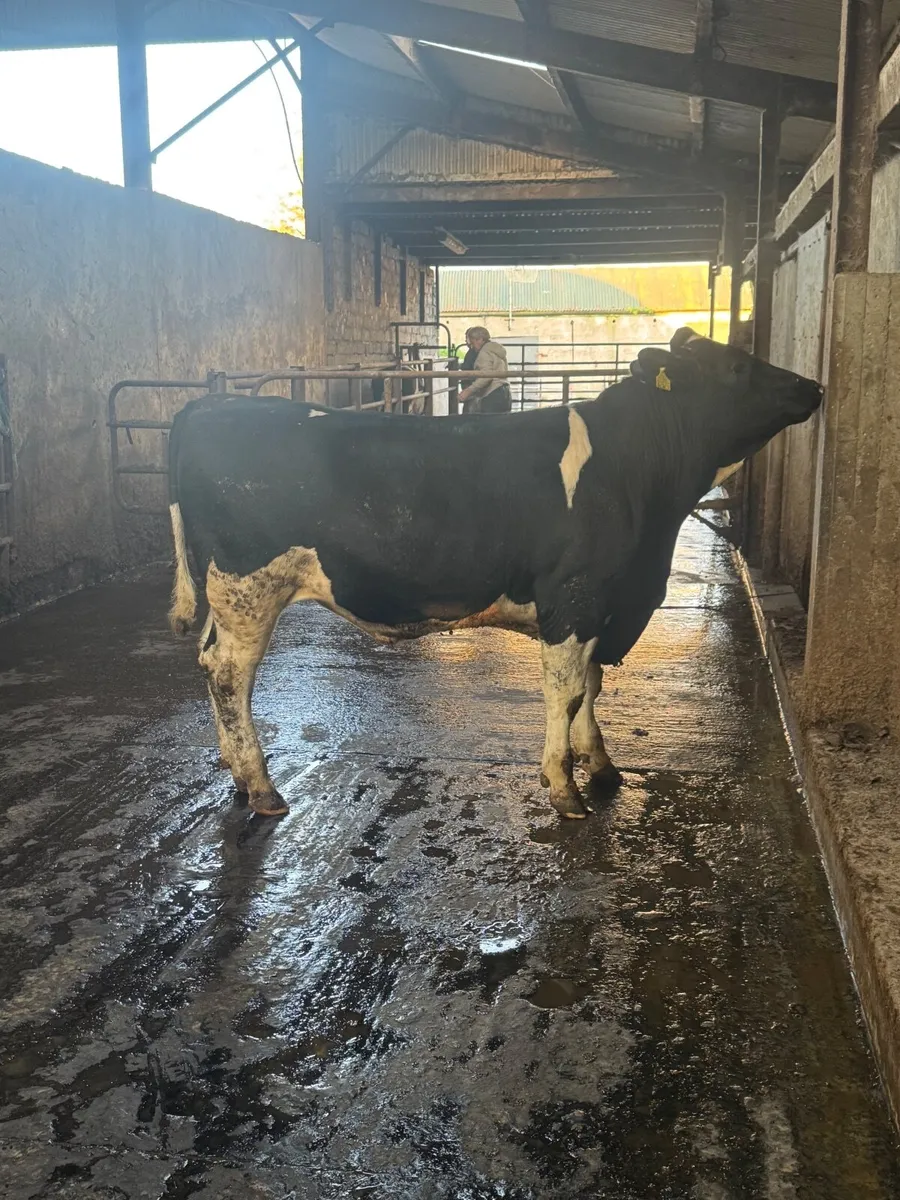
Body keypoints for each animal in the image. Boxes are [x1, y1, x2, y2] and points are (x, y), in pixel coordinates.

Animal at [166, 329, 822, 820]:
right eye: (736, 366)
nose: (813, 386)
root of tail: (211, 404)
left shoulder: (605, 604)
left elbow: (590, 686)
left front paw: (602, 765)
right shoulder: (576, 596)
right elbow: (566, 689)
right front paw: (565, 788)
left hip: (230, 596)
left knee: (207, 660)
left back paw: (235, 773)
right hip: (249, 587)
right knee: (229, 675)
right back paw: (261, 787)